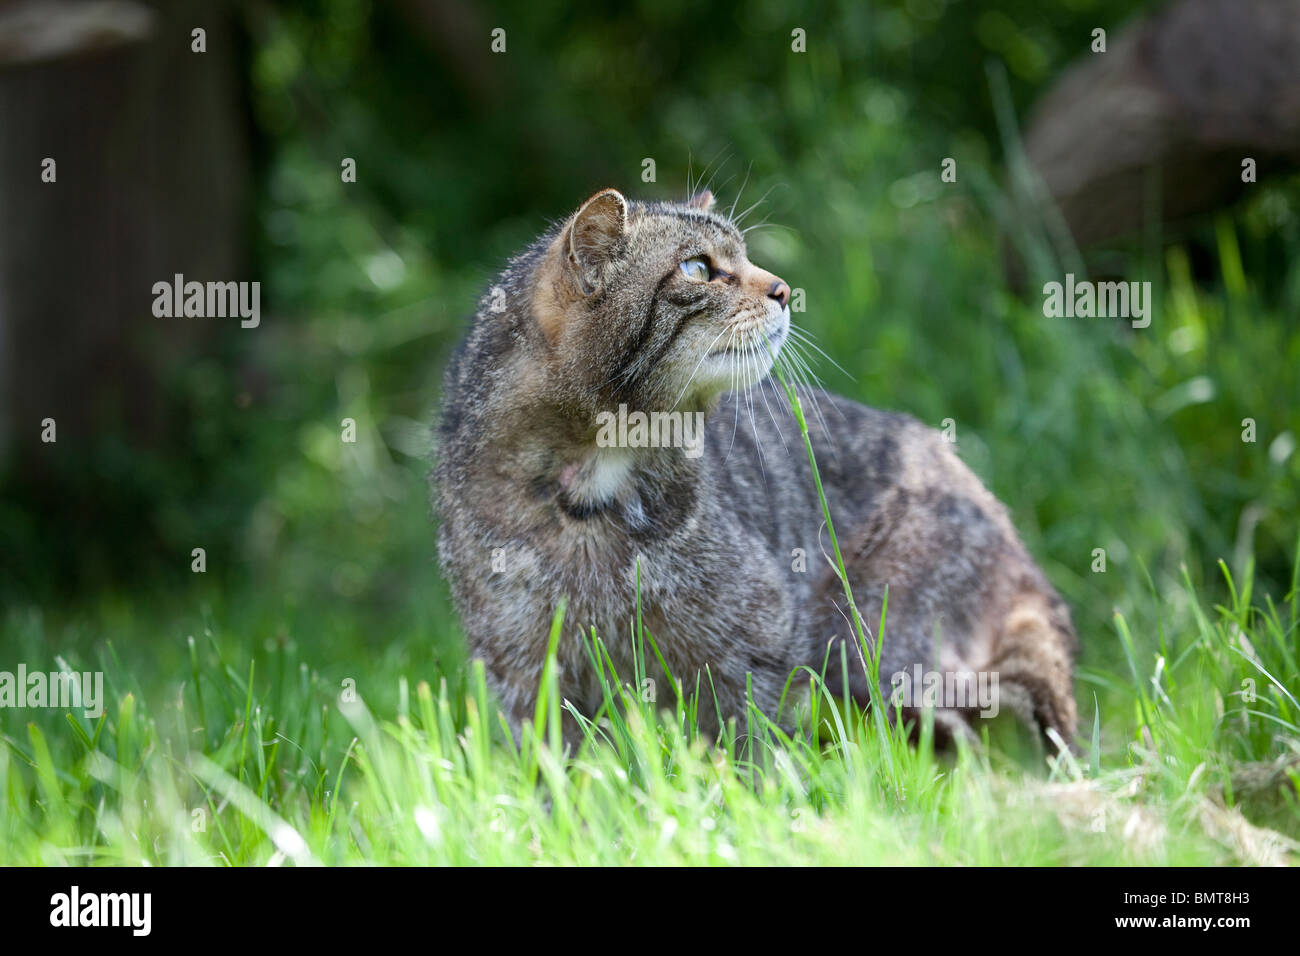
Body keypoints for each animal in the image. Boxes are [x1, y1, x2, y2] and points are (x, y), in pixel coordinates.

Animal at [431, 188, 1071, 749]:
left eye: (745, 256)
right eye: (698, 268)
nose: (785, 290)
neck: (590, 490)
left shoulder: (753, 638)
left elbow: (750, 750)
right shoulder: (524, 670)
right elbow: (554, 775)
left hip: (871, 641)